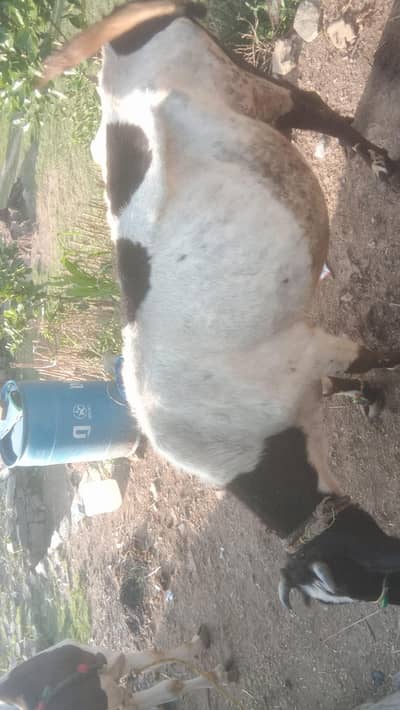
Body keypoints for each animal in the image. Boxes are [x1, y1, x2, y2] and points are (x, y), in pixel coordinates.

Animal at [40, 1, 400, 609]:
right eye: (354, 587)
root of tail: (125, 29)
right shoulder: (307, 364)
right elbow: (349, 380)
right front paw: (369, 397)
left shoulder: (311, 348)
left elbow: (375, 356)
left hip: (241, 80)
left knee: (311, 105)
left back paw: (375, 160)